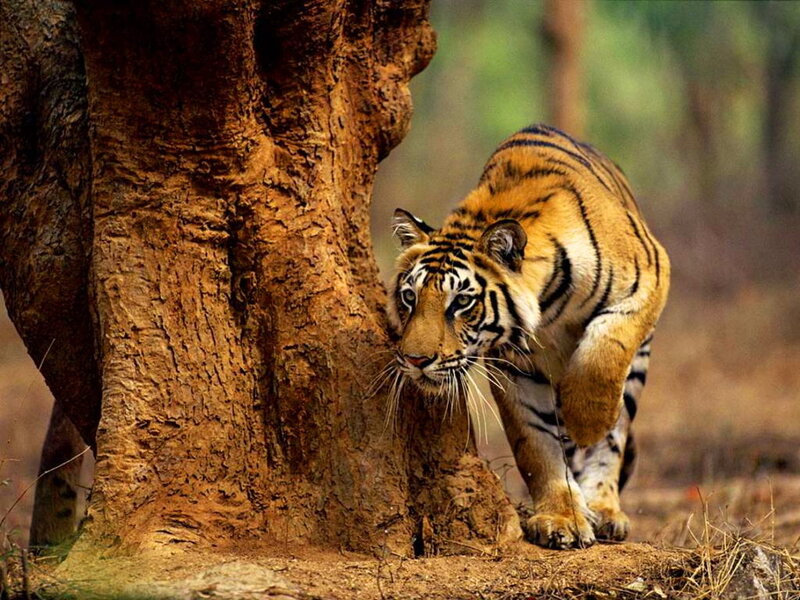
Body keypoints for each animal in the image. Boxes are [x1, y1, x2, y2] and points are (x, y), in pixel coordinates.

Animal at [386, 124, 669, 549]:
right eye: (409, 297)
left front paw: (588, 421)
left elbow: (602, 355)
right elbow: (536, 445)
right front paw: (562, 519)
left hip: (638, 367)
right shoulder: (515, 367)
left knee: (615, 436)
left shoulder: (651, 274)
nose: (415, 361)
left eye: (461, 302)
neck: (548, 309)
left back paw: (604, 508)